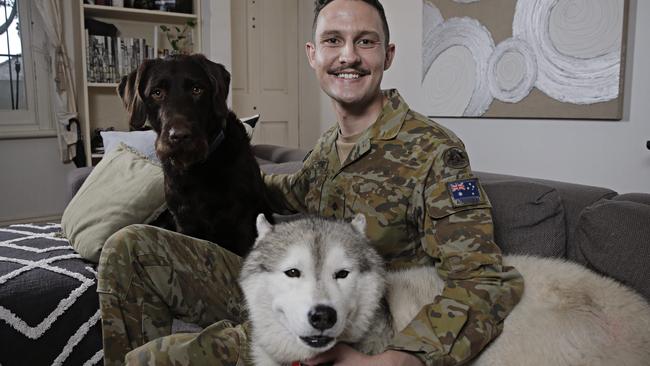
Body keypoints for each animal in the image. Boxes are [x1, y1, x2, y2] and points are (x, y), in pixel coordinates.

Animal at [118, 54, 270, 256]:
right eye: (157, 93)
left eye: (197, 89)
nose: (179, 136)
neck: (197, 170)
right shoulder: (185, 223)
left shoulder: (243, 222)